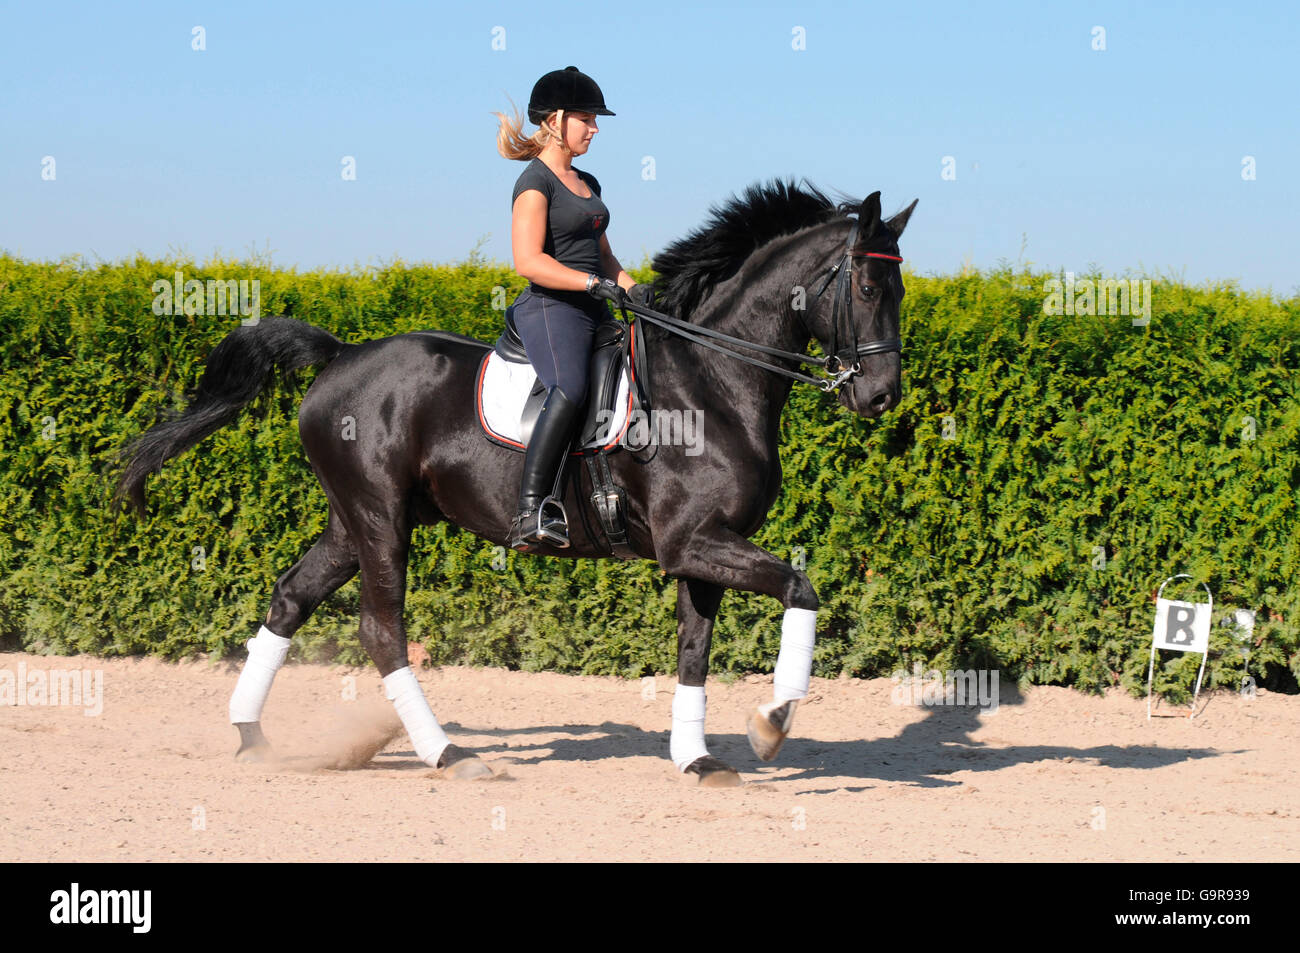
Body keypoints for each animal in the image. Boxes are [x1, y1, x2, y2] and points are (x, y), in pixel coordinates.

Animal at [119, 182, 915, 785]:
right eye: (867, 285)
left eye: (902, 289)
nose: (881, 396)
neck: (713, 380)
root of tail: (340, 354)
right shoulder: (693, 541)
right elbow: (800, 588)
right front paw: (772, 724)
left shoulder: (703, 549)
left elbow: (694, 650)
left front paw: (697, 759)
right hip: (379, 519)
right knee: (382, 630)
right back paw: (448, 754)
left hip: (352, 521)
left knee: (290, 598)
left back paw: (253, 737)